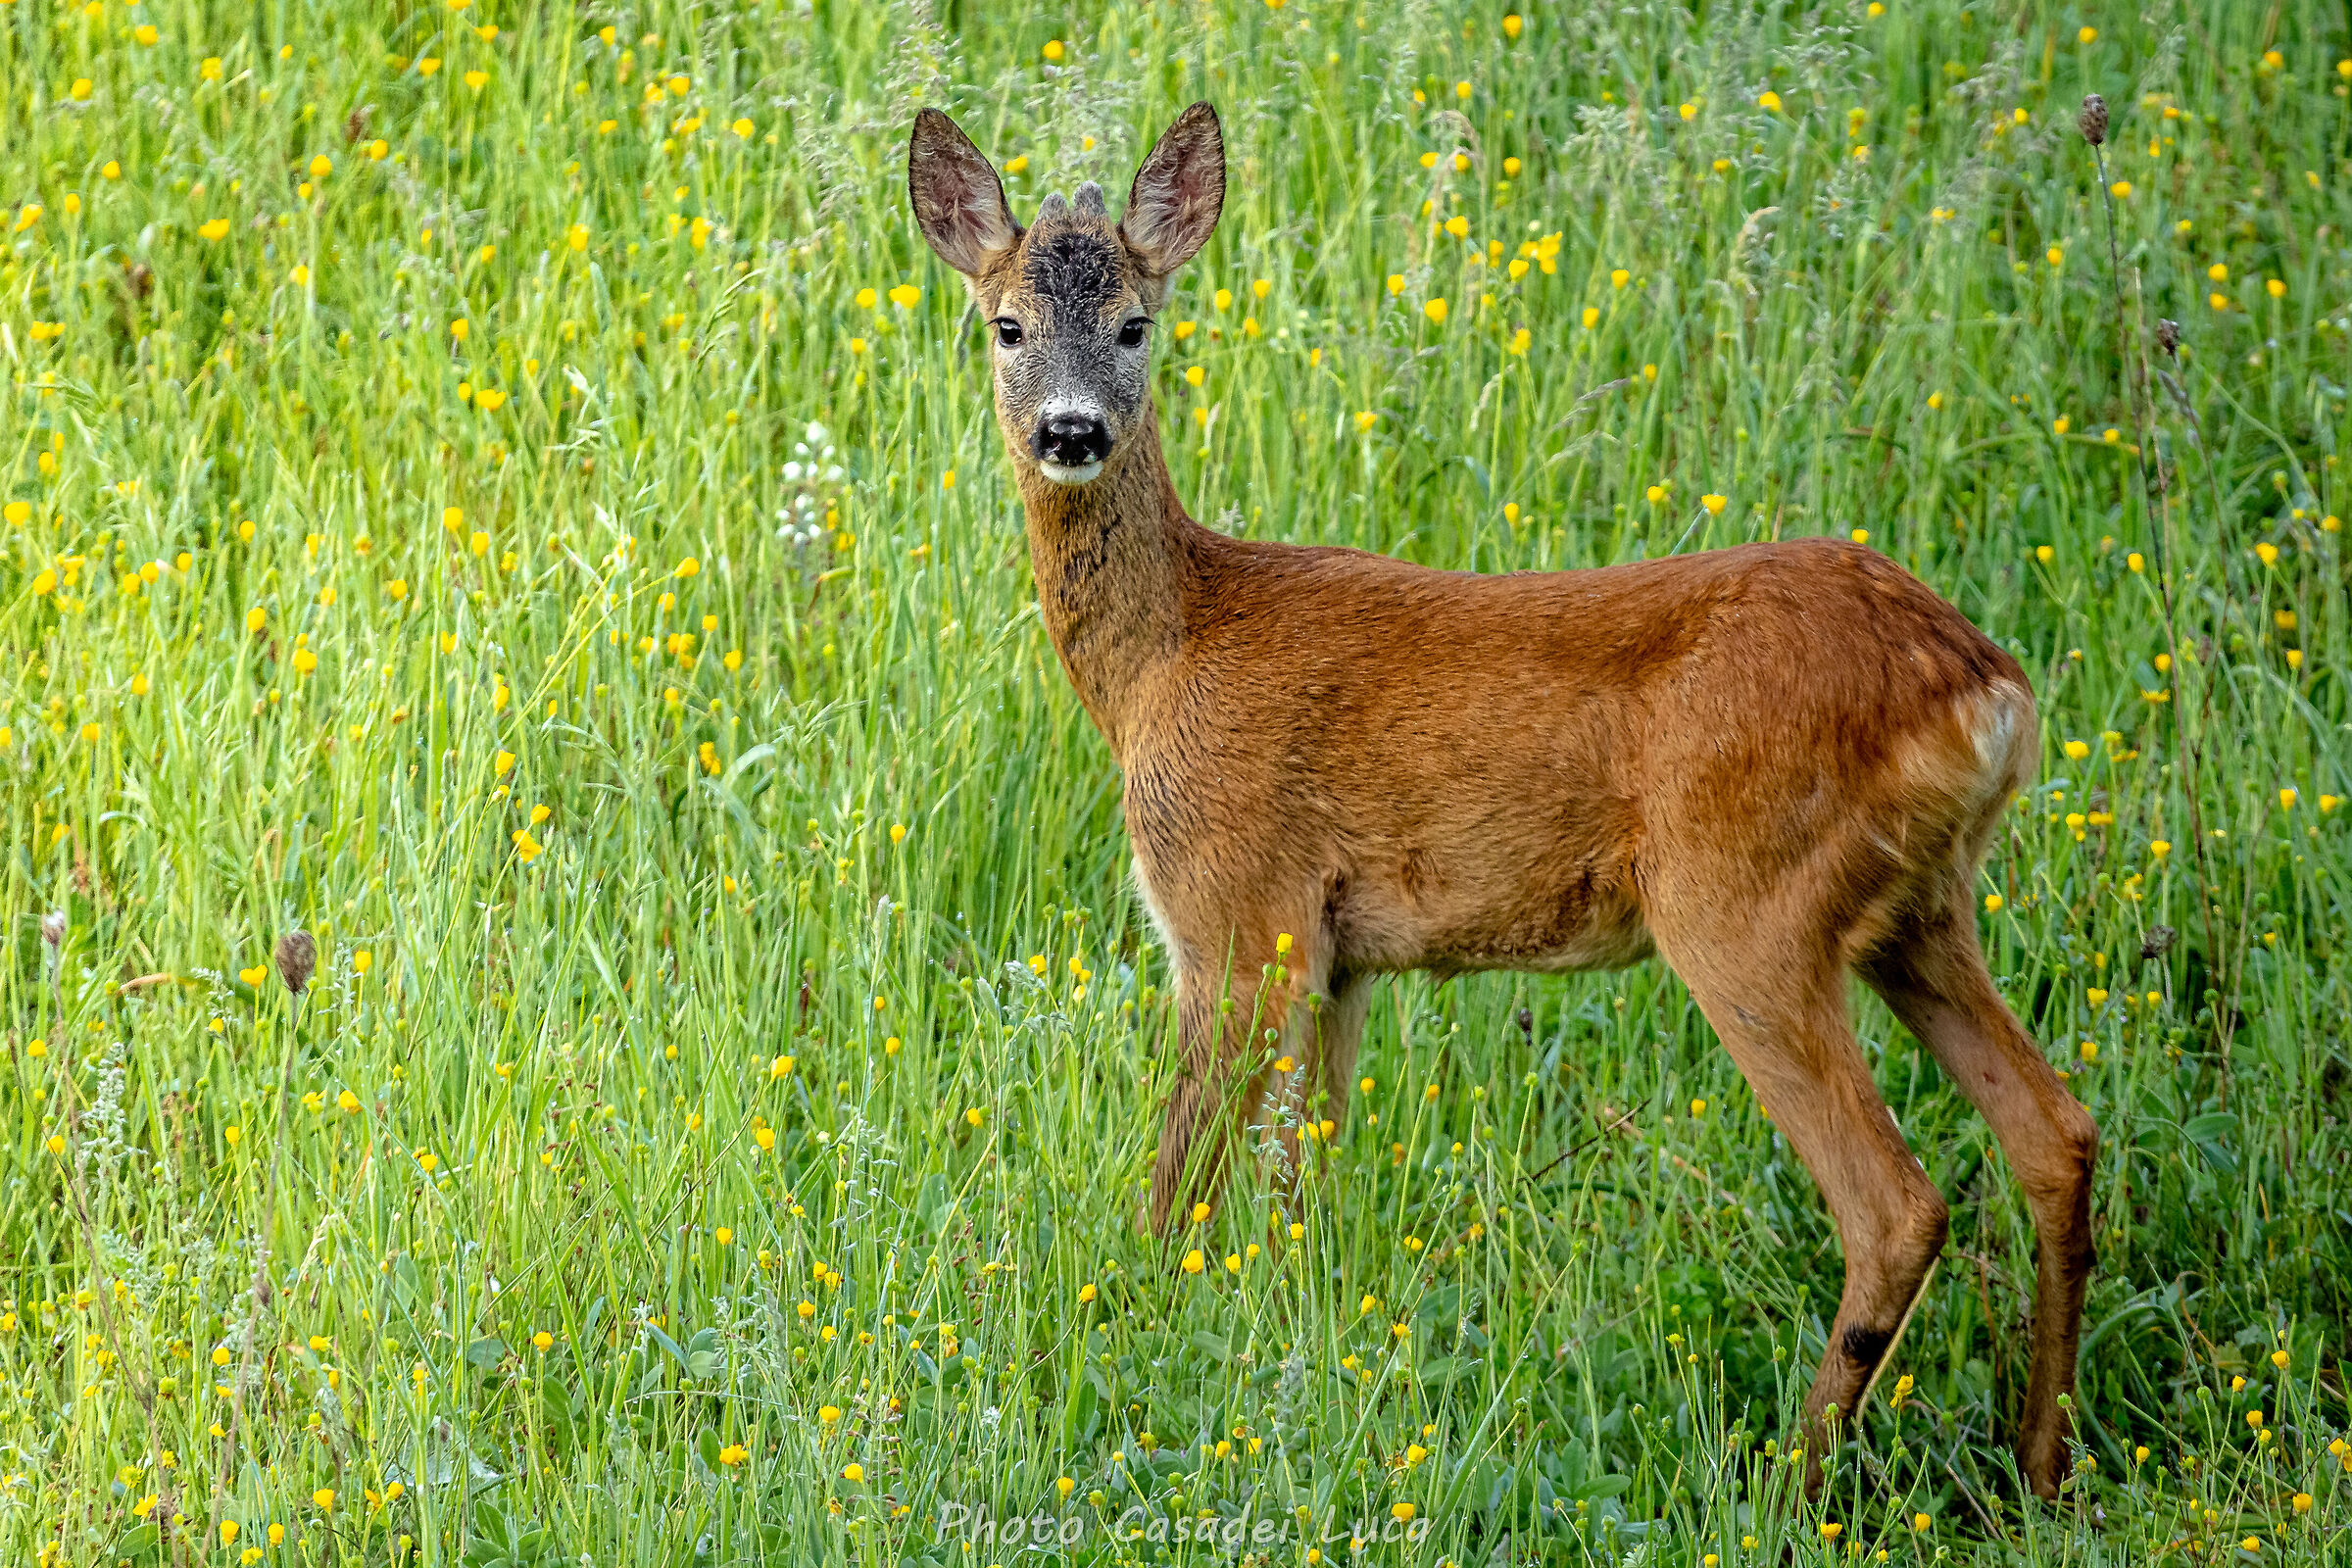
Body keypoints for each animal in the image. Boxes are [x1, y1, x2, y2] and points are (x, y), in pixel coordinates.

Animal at [908, 101, 2098, 1499]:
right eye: (1006, 325)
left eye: (1139, 322)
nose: (1072, 432)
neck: (1167, 655)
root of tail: (1985, 684)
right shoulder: (1342, 957)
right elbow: (1304, 1186)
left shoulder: (1234, 911)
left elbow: (1179, 1184)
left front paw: (1136, 1332)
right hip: (1921, 906)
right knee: (2057, 1130)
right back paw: (2040, 1463)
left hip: (1743, 904)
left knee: (1896, 1201)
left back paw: (1789, 1484)